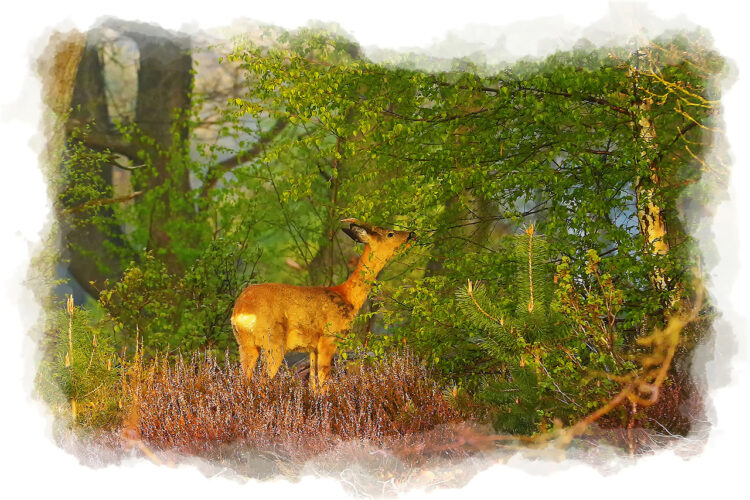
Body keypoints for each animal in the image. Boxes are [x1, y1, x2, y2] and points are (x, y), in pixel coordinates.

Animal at [231, 220, 418, 390]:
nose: (411, 234)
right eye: (390, 233)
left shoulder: (313, 347)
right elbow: (324, 383)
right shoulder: (329, 338)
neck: (347, 297)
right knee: (262, 381)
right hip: (273, 342)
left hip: (246, 345)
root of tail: (240, 311)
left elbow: (314, 385)